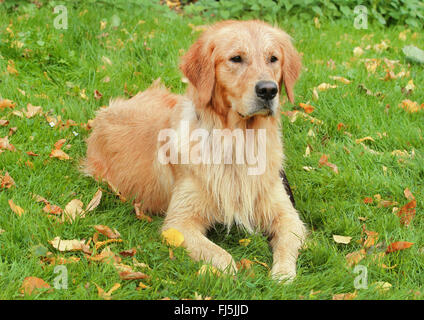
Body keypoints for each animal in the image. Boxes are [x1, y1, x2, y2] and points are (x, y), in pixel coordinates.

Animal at [84, 20, 306, 282]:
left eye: (273, 59)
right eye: (236, 58)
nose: (269, 90)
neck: (238, 141)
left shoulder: (288, 215)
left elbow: (287, 243)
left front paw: (283, 275)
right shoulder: (178, 223)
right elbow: (223, 257)